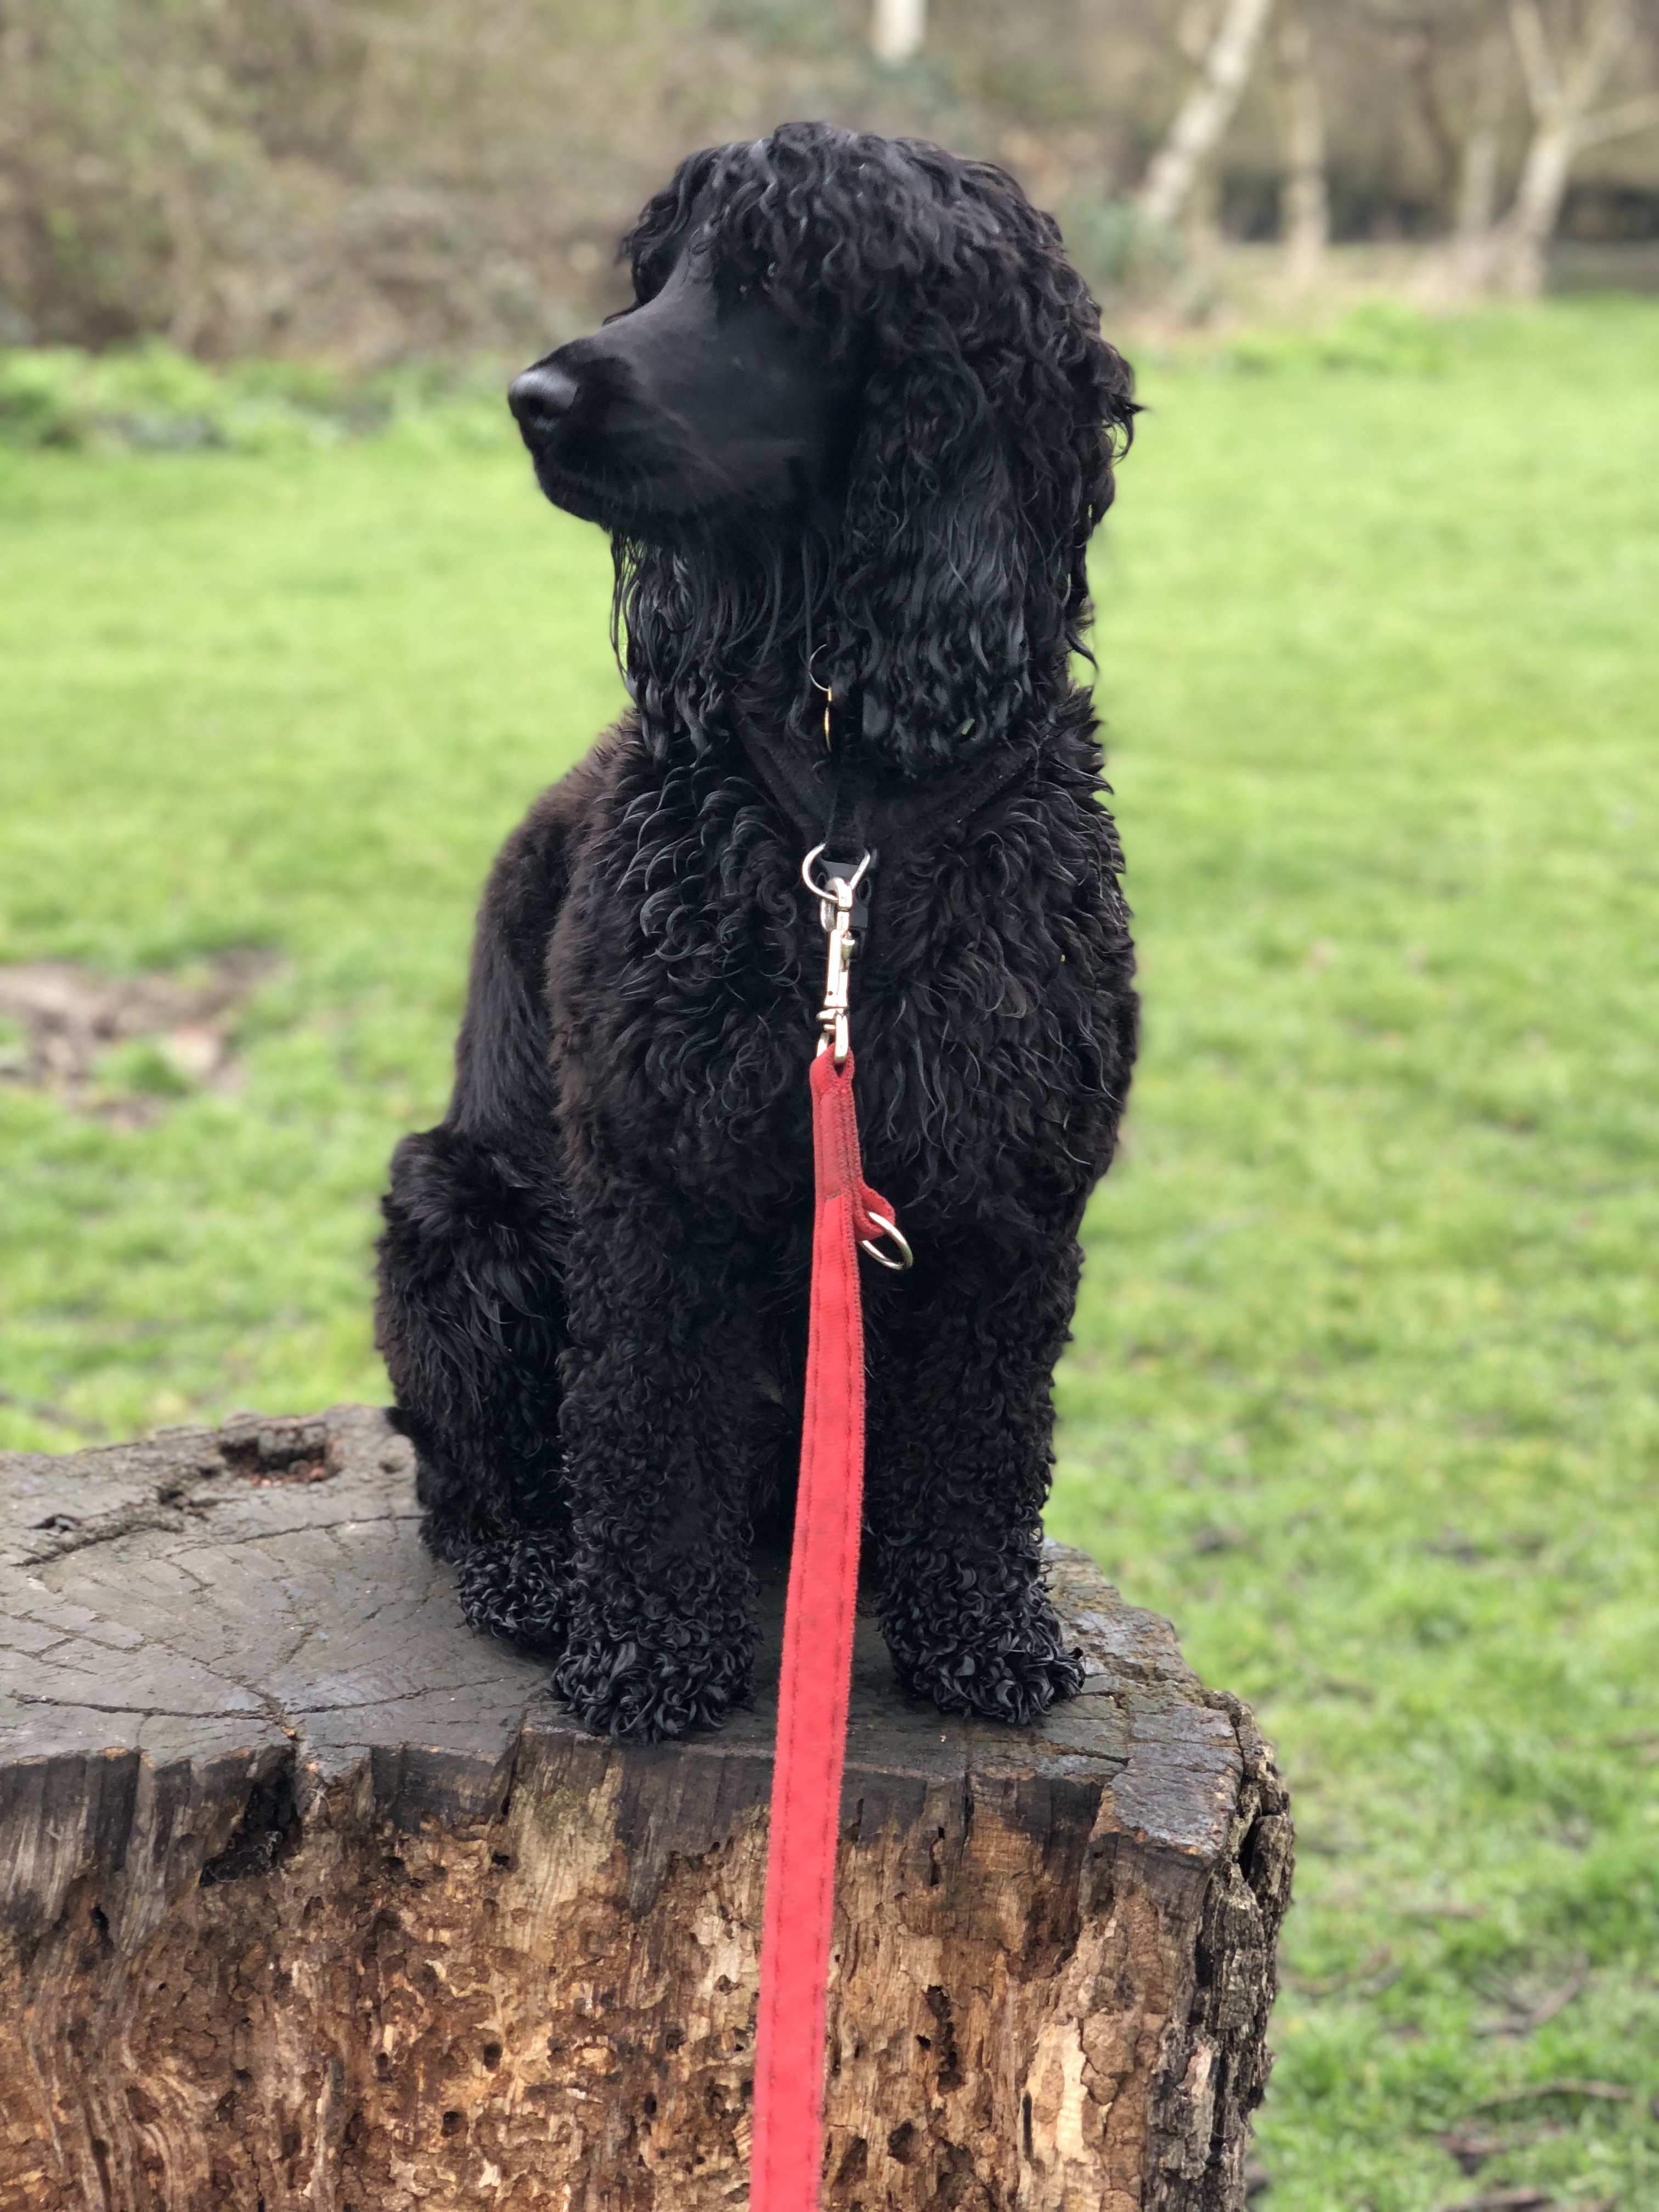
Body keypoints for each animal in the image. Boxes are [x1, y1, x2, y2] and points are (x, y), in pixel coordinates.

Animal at [376, 121, 1139, 1744]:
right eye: (660, 274)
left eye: (788, 285)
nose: (532, 398)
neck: (851, 814)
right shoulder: (660, 1173)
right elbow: (651, 1431)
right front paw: (653, 1654)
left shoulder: (1012, 1193)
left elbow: (983, 1455)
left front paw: (980, 1636)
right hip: (457, 1214)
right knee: (469, 1488)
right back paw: (539, 1578)